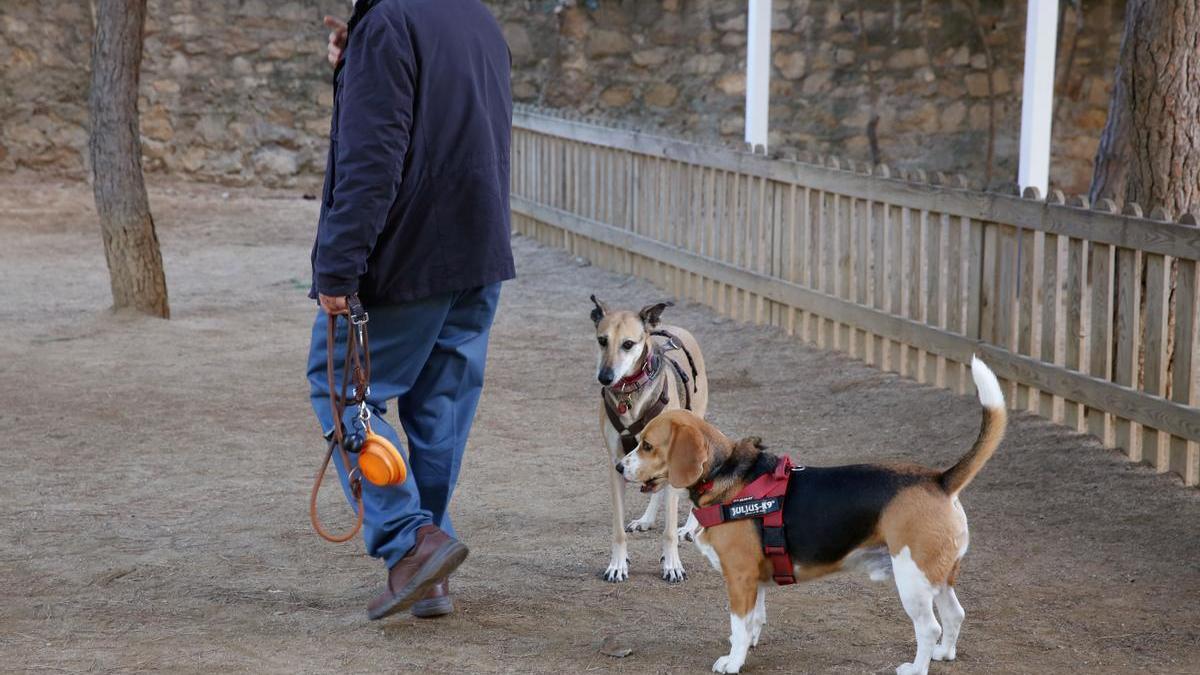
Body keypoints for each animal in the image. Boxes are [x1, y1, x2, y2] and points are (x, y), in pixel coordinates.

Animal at [592, 296, 705, 581]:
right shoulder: (617, 464)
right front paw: (617, 564)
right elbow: (618, 529)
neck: (629, 393)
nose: (605, 377)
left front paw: (672, 565)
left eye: (628, 344)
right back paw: (646, 519)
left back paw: (689, 528)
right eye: (602, 340)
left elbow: (669, 530)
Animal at [619, 355, 1003, 667]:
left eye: (647, 445)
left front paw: (733, 661)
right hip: (937, 576)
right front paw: (748, 648)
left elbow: (739, 626)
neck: (725, 472)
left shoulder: (739, 577)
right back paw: (944, 654)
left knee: (929, 627)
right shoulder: (755, 578)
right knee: (954, 615)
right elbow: (754, 621)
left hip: (912, 578)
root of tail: (940, 479)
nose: (619, 466)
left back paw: (916, 666)